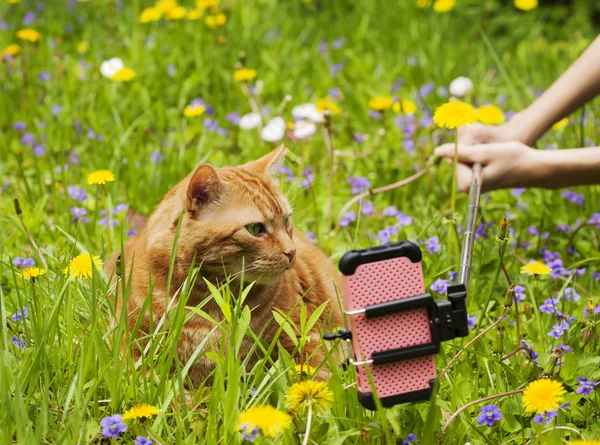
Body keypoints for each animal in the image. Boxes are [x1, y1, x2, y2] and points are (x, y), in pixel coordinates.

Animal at [105, 144, 342, 384]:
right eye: (255, 228)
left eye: (286, 221)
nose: (291, 251)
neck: (206, 299)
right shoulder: (131, 355)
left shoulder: (308, 342)